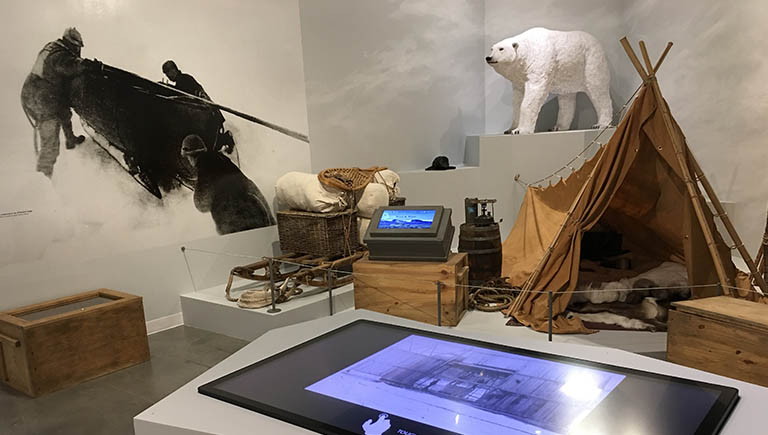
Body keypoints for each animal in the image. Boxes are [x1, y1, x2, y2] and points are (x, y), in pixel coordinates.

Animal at [488, 27, 616, 135]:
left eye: (501, 49)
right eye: (491, 49)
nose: (488, 57)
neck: (528, 50)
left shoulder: (539, 64)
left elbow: (533, 96)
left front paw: (520, 130)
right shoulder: (520, 78)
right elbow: (517, 101)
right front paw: (510, 129)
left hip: (591, 62)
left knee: (598, 91)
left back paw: (601, 124)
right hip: (568, 73)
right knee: (566, 99)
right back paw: (558, 127)